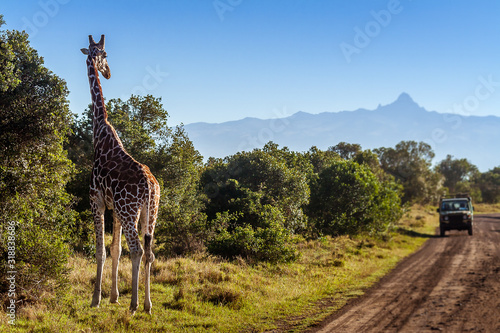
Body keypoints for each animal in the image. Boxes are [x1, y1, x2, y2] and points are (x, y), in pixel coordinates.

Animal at [81, 36, 160, 314]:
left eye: (105, 55)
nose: (108, 72)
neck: (99, 132)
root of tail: (150, 187)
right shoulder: (114, 207)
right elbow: (115, 249)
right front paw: (114, 296)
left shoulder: (96, 200)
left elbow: (101, 250)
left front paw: (96, 299)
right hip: (150, 212)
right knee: (149, 252)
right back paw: (147, 304)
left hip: (129, 211)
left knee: (137, 250)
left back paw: (135, 304)